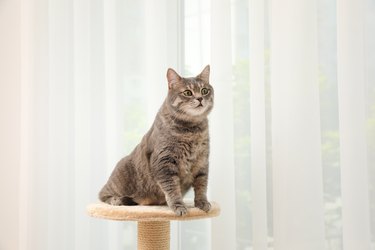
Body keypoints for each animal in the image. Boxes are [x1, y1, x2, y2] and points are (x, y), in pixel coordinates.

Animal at [99, 65, 214, 216]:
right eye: (188, 92)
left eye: (204, 90)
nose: (200, 98)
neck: (192, 130)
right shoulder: (164, 162)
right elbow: (172, 188)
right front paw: (178, 206)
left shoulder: (202, 162)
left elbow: (202, 185)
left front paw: (202, 203)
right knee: (102, 195)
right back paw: (116, 200)